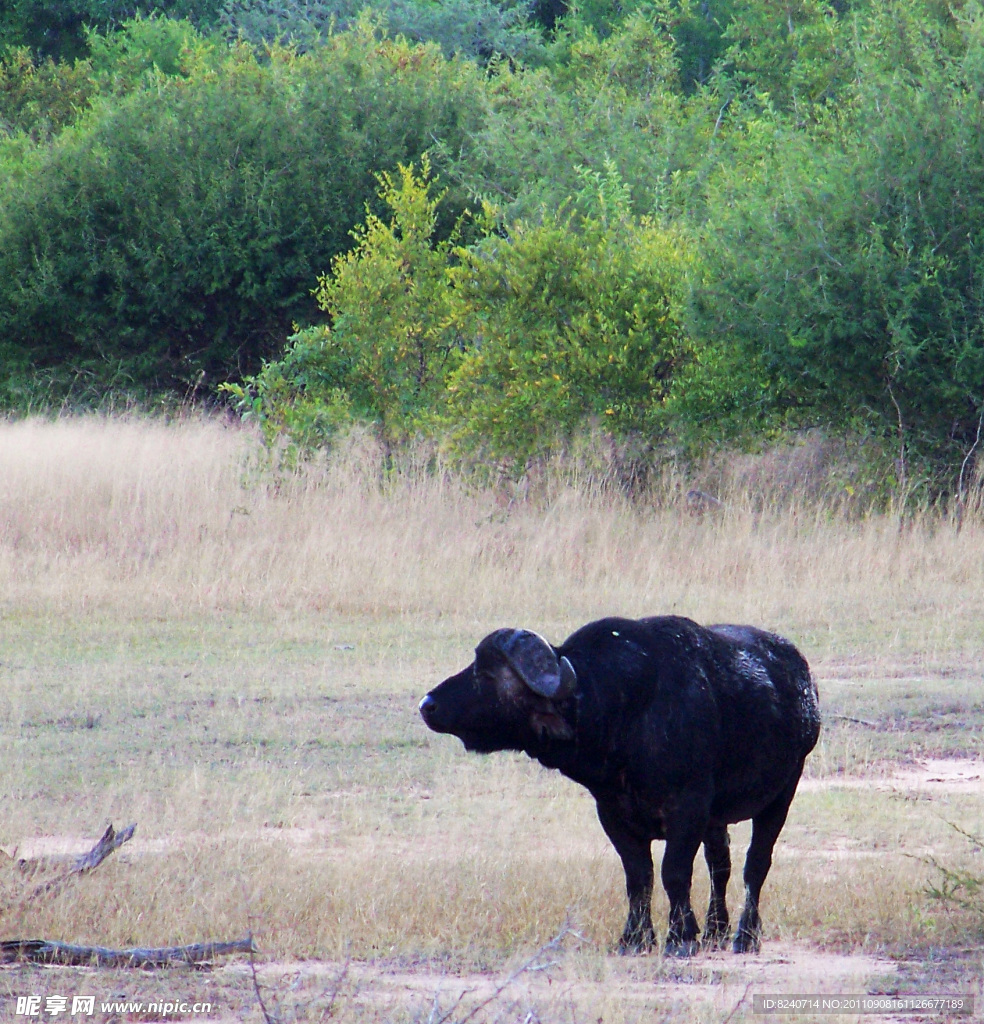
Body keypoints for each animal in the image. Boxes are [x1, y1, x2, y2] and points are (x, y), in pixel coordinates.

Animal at [417, 610, 819, 954]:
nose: (427, 704)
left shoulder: (687, 808)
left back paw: (745, 935)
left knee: (756, 865)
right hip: (717, 818)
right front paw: (635, 938)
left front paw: (680, 937)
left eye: (486, 674)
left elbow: (674, 872)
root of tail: (803, 681)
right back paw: (716, 931)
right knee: (720, 864)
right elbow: (638, 876)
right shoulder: (612, 813)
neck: (627, 714)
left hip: (782, 793)